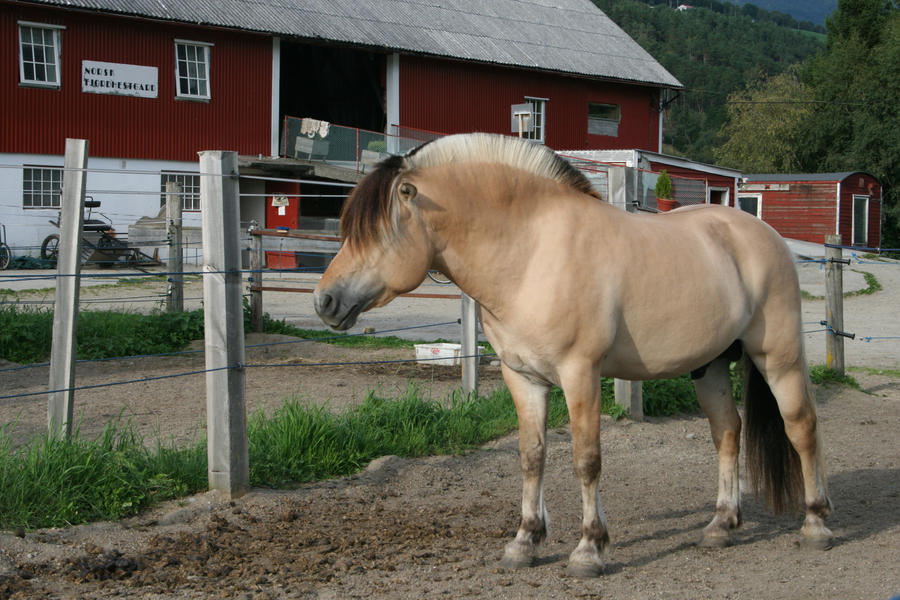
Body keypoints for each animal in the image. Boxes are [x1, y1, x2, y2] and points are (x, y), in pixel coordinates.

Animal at [312, 132, 832, 576]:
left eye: (374, 233)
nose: (324, 302)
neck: (531, 252)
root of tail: (763, 234)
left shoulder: (581, 373)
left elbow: (587, 459)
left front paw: (588, 549)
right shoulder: (523, 377)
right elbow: (532, 455)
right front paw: (525, 542)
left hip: (779, 357)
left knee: (802, 427)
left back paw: (816, 524)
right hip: (711, 366)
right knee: (727, 432)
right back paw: (722, 525)